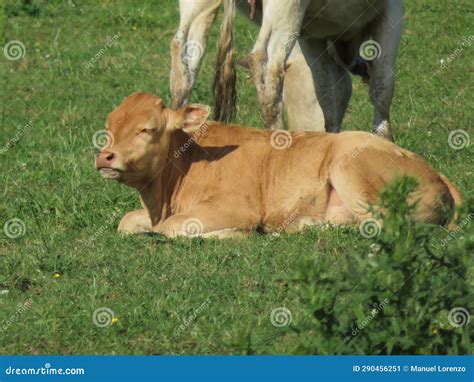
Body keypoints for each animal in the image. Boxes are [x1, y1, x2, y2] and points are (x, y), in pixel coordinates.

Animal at [94, 92, 462, 237]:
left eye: (146, 129)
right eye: (109, 127)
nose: (104, 156)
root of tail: (436, 173)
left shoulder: (235, 208)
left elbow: (170, 229)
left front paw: (233, 235)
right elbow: (127, 222)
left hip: (350, 165)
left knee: (383, 224)